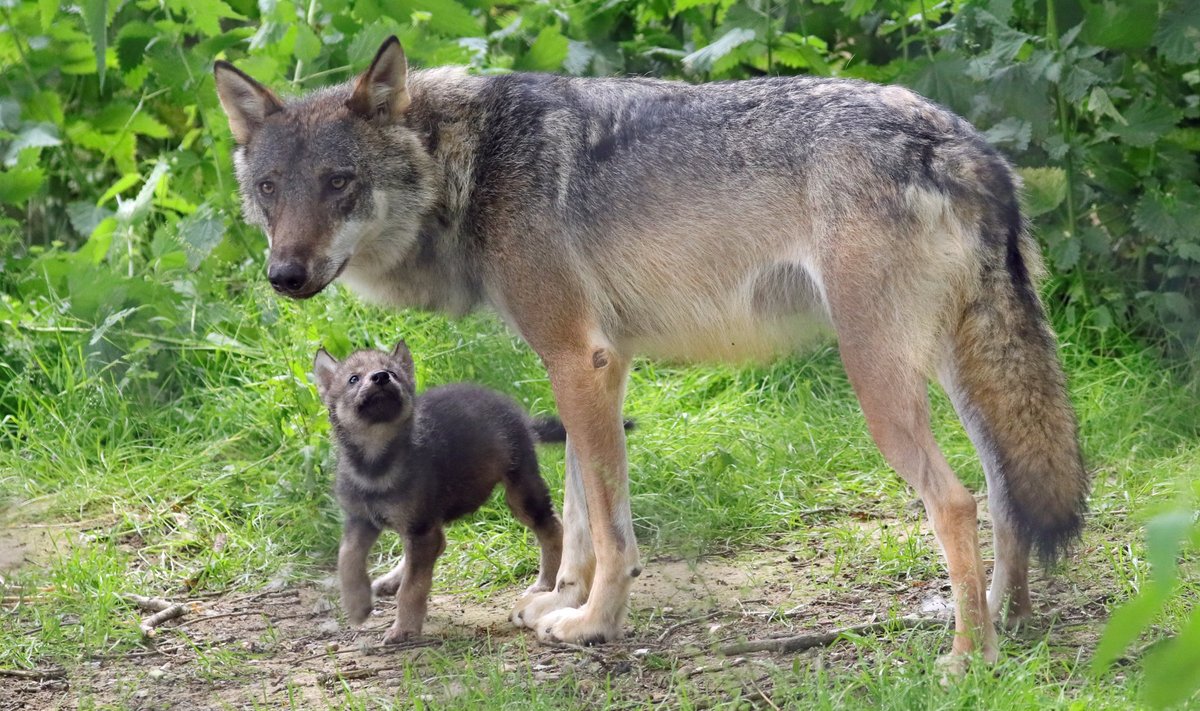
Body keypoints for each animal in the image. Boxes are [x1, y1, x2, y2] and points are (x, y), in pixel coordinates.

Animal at [213, 37, 1089, 662]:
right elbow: (579, 509)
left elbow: (609, 526)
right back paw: (1007, 621)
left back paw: (967, 657)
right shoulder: (596, 365)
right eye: (270, 190)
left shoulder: (579, 359)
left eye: (339, 182)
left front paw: (593, 624)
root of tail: (963, 141)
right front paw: (560, 600)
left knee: (957, 501)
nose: (284, 275)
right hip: (954, 373)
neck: (473, 162)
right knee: (1004, 493)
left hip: (878, 382)